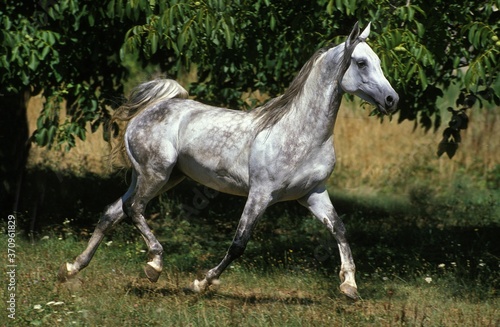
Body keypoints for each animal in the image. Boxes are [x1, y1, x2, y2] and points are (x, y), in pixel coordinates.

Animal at [58, 21, 398, 302]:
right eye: (361, 62)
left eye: (379, 62)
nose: (392, 100)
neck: (301, 133)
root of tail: (148, 111)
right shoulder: (261, 194)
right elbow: (238, 243)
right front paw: (201, 283)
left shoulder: (312, 194)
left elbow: (340, 230)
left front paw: (349, 286)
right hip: (155, 175)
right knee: (133, 209)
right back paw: (154, 265)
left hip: (161, 177)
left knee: (112, 212)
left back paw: (72, 268)